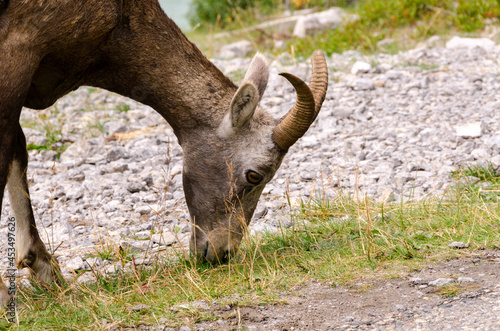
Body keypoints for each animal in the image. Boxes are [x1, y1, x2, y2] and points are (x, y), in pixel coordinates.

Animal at [0, 0, 328, 306]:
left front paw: (45, 272)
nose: (222, 253)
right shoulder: (16, 56)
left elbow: (18, 153)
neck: (119, 18)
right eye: (254, 175)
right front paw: (7, 295)